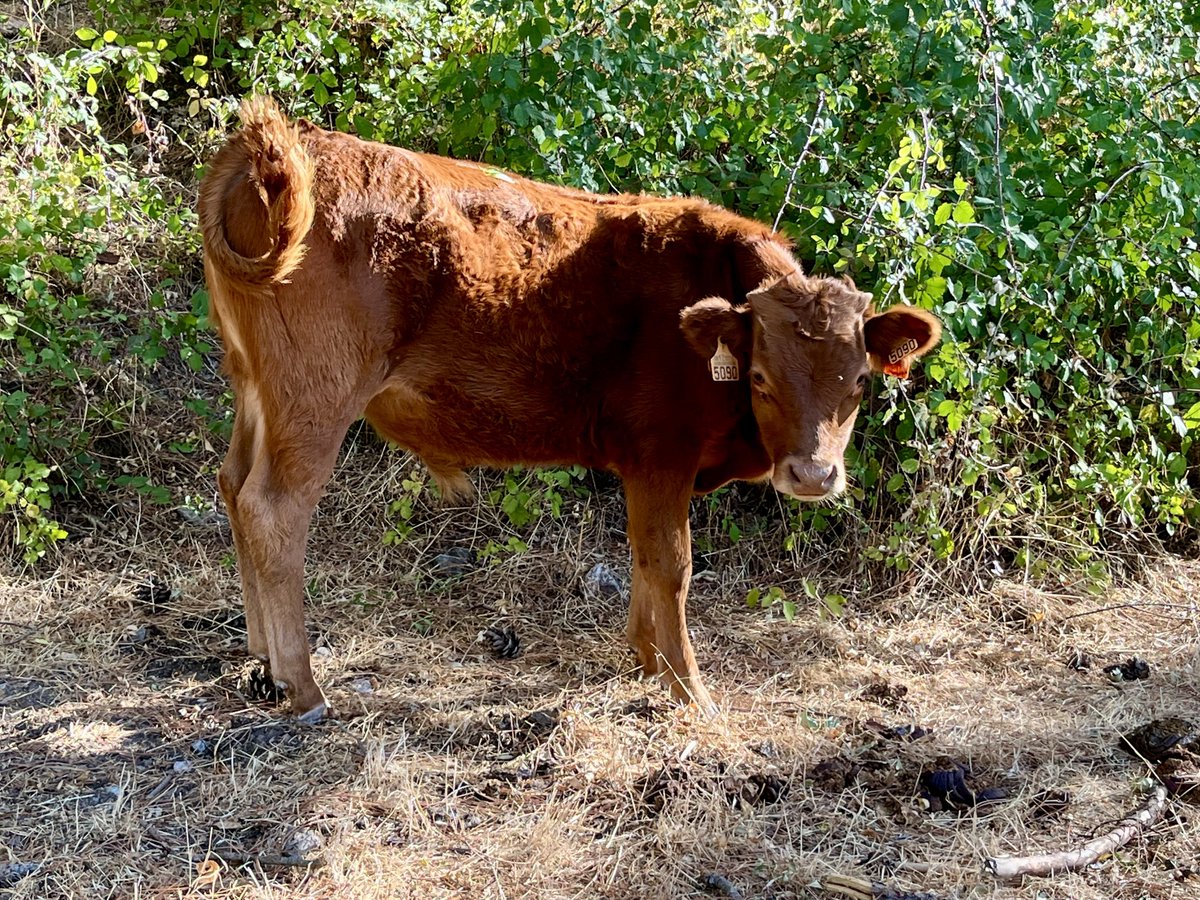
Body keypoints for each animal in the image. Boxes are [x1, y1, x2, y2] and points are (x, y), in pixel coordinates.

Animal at [198, 97, 941, 722]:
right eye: (758, 376)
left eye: (859, 382)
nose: (813, 476)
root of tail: (288, 144)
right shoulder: (660, 455)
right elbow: (671, 564)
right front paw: (688, 688)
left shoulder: (648, 469)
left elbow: (644, 558)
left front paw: (646, 660)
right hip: (313, 400)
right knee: (274, 510)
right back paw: (302, 685)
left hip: (255, 391)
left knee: (233, 486)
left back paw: (260, 658)